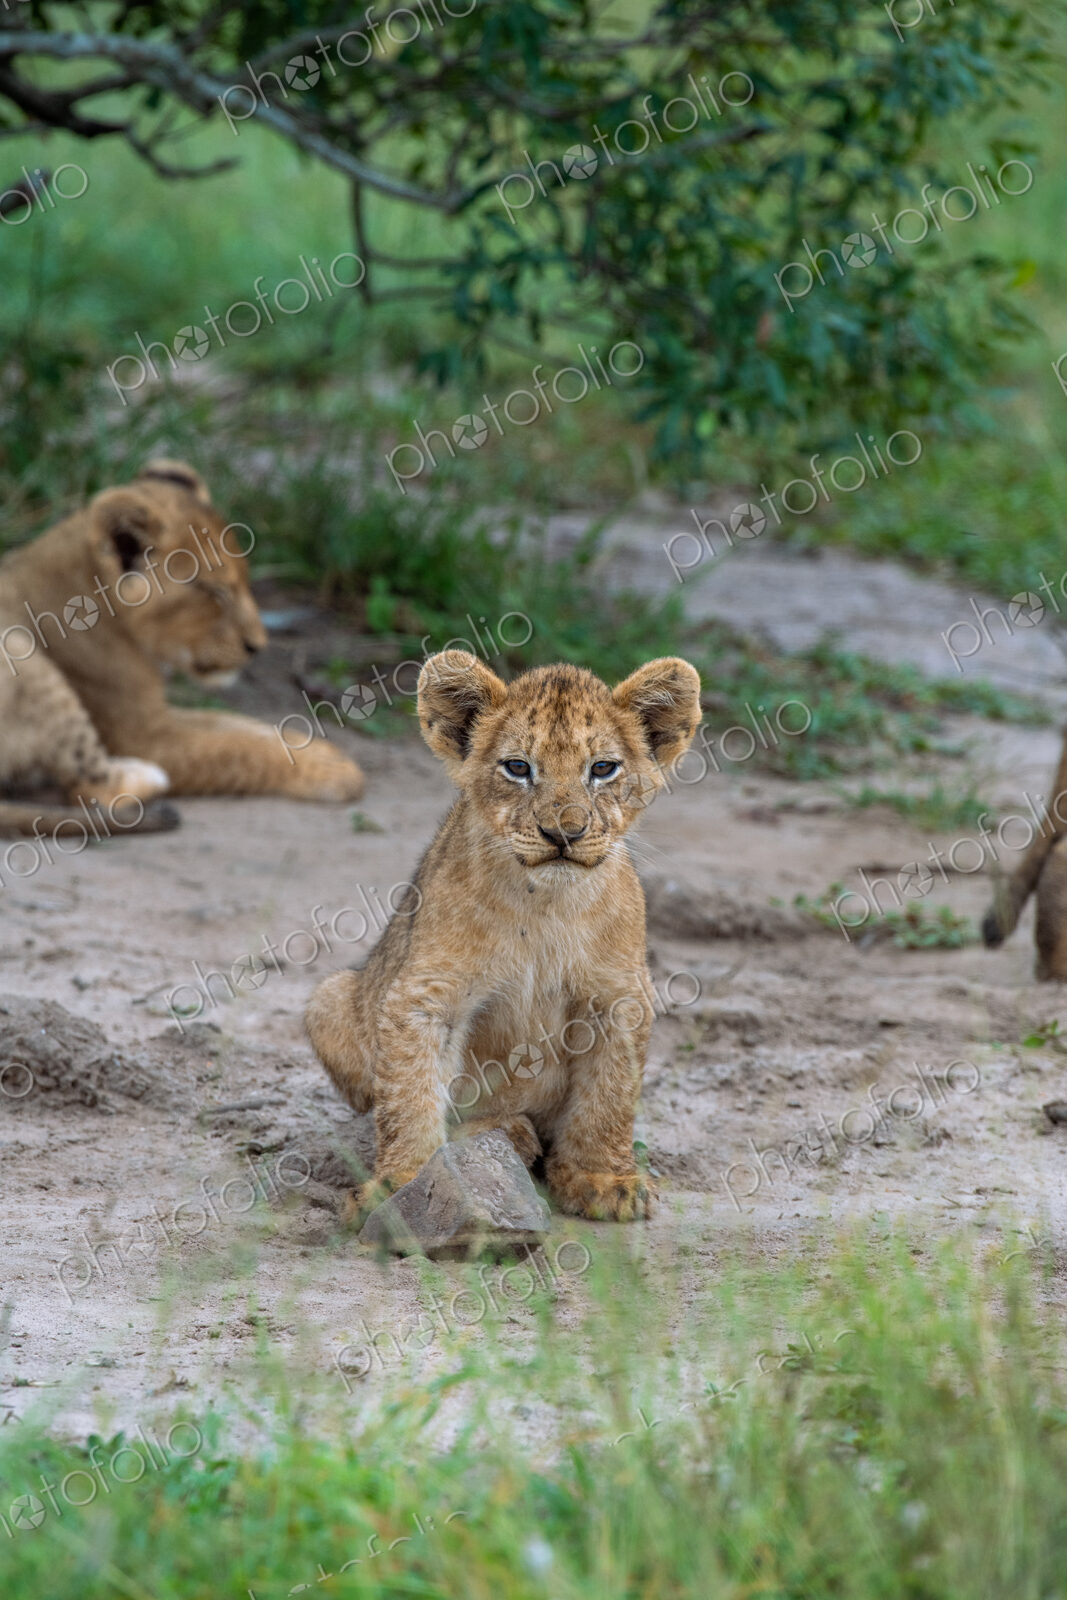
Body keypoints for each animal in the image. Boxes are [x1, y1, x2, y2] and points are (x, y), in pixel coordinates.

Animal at [0, 460, 364, 838]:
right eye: (216, 592)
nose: (258, 646)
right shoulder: (141, 737)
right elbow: (234, 750)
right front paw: (333, 772)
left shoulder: (157, 713)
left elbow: (232, 724)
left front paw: (322, 750)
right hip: (19, 649)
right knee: (93, 791)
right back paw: (150, 775)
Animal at [306, 648, 701, 1223]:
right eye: (518, 767)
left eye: (602, 769)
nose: (563, 833)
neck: (545, 905)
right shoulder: (424, 995)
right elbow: (409, 1095)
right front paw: (401, 1182)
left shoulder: (618, 997)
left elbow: (608, 1098)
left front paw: (601, 1178)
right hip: (330, 999)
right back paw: (506, 1133)